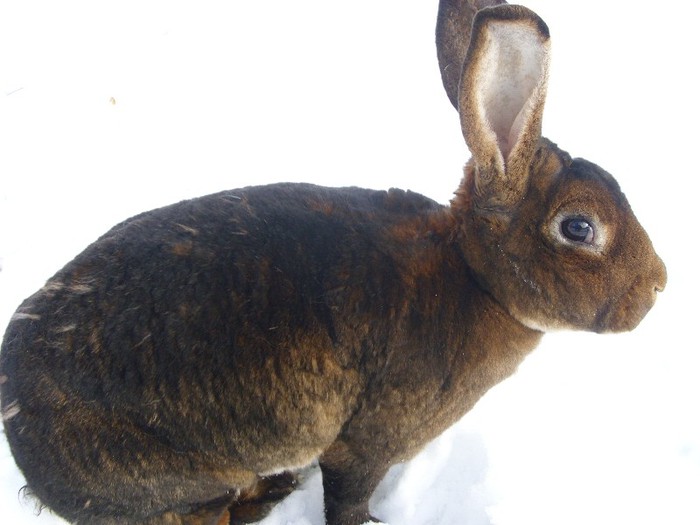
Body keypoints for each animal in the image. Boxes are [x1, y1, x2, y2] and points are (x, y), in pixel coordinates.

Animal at [0, 1, 668, 524]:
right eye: (579, 228)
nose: (659, 285)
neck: (476, 278)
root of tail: (20, 434)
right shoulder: (365, 444)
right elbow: (347, 499)